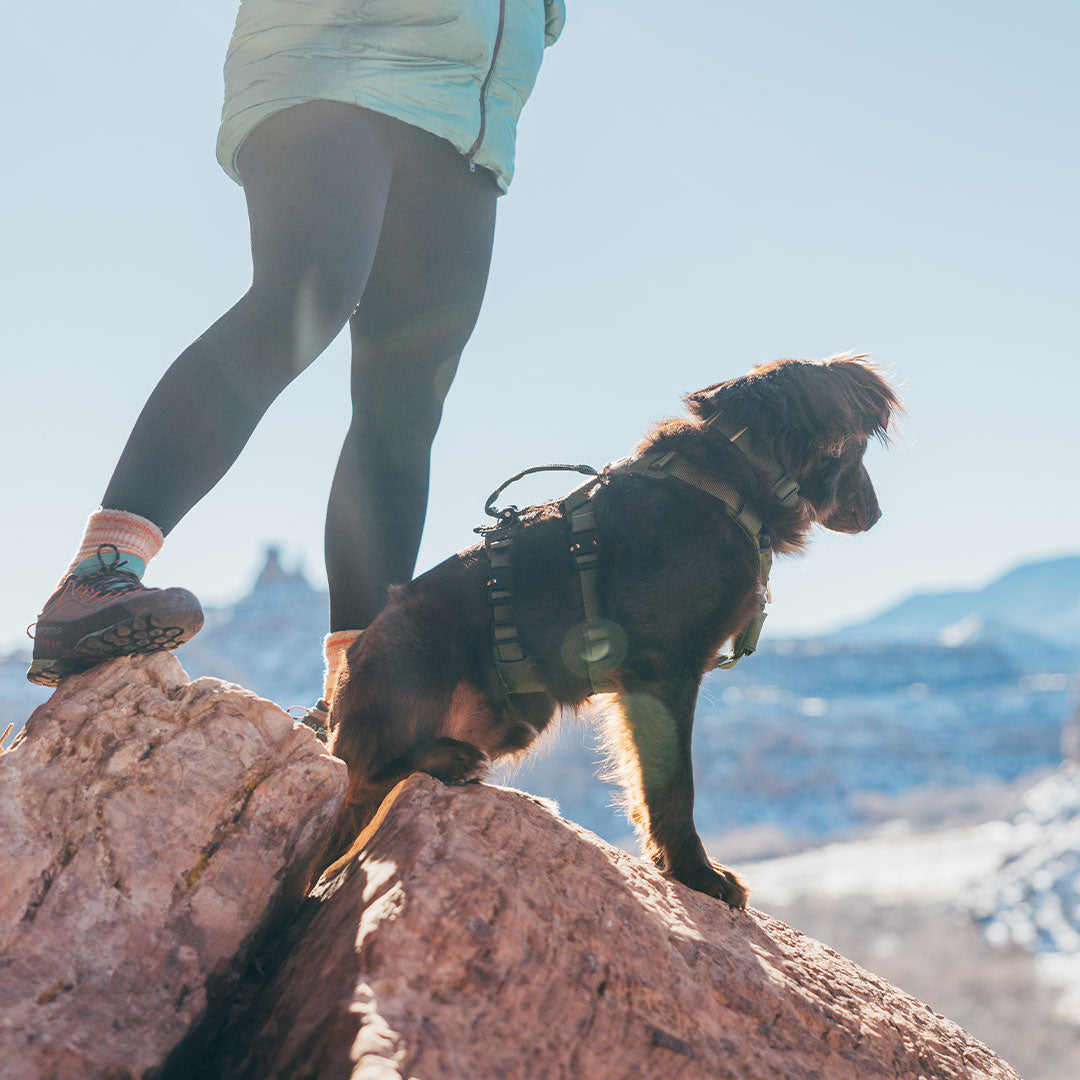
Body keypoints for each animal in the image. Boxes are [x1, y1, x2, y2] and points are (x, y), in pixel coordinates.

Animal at [324, 352, 898, 902]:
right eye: (858, 451)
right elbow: (673, 784)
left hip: (513, 717)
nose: (875, 514)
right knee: (363, 770)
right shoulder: (661, 673)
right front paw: (696, 873)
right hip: (419, 647)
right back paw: (448, 759)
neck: (729, 483)